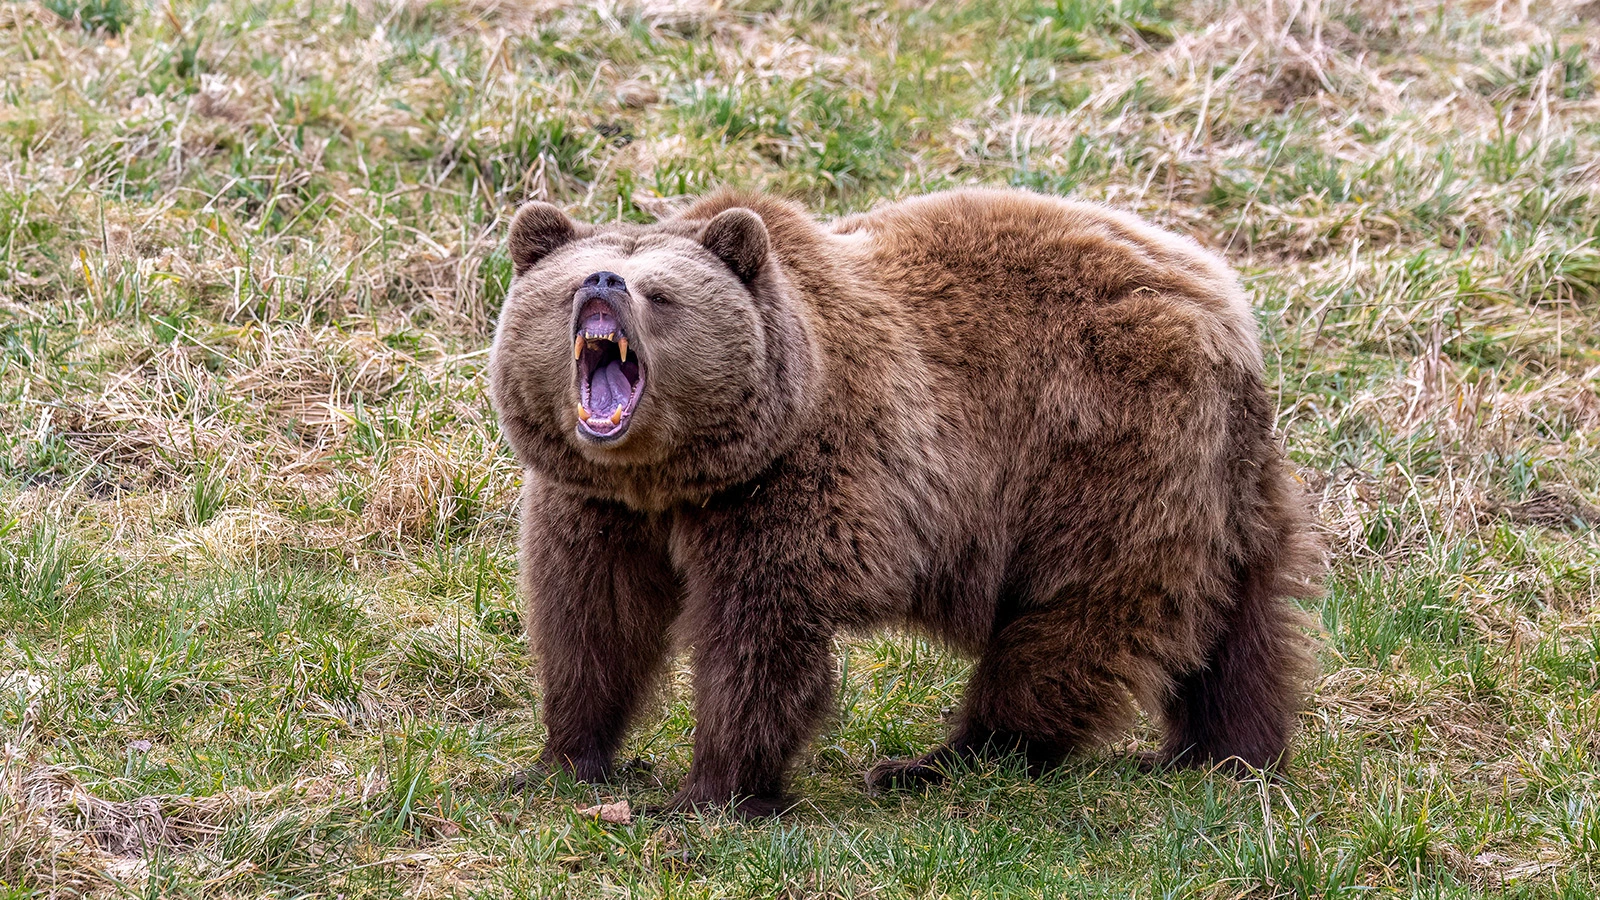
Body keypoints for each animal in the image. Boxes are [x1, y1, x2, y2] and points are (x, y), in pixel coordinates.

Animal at [483, 185, 1312, 816]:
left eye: (661, 291)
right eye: (573, 279)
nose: (603, 284)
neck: (672, 476)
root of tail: (1224, 302)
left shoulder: (795, 486)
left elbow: (756, 638)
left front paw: (711, 793)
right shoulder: (597, 506)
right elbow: (594, 620)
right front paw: (560, 761)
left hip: (1101, 444)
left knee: (1080, 614)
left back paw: (946, 761)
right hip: (1225, 482)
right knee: (1242, 622)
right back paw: (1223, 752)